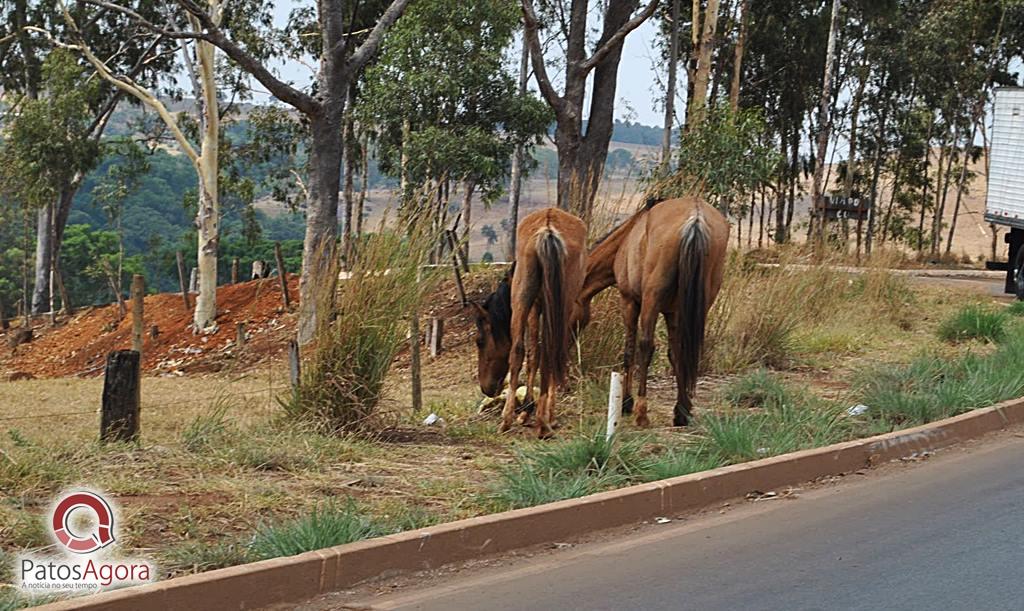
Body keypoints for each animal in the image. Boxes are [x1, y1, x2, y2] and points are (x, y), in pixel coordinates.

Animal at [471, 207, 585, 435]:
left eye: (479, 341)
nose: (486, 388)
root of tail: (548, 229)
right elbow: (539, 354)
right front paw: (534, 411)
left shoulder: (534, 307)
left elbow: (532, 354)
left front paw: (527, 409)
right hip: (556, 304)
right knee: (549, 351)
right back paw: (542, 420)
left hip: (523, 301)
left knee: (519, 351)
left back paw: (512, 419)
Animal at [577, 197, 729, 425]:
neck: (626, 240)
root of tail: (696, 217)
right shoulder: (673, 312)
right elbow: (676, 353)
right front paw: (682, 409)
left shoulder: (629, 302)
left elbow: (630, 351)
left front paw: (627, 402)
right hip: (701, 302)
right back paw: (681, 410)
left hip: (651, 299)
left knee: (646, 346)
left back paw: (641, 411)